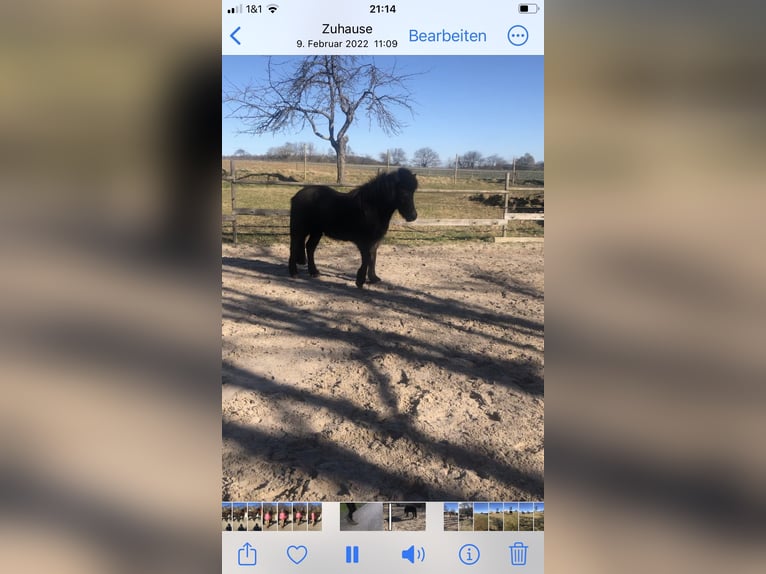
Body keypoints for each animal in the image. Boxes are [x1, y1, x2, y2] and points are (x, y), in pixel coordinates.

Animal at [288, 167, 418, 288]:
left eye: (413, 192)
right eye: (404, 192)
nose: (413, 216)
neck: (372, 208)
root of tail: (297, 196)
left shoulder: (375, 241)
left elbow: (373, 258)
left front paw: (373, 278)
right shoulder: (364, 242)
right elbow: (366, 259)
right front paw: (360, 281)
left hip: (316, 232)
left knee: (310, 248)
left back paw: (314, 272)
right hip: (299, 230)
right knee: (294, 247)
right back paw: (293, 273)